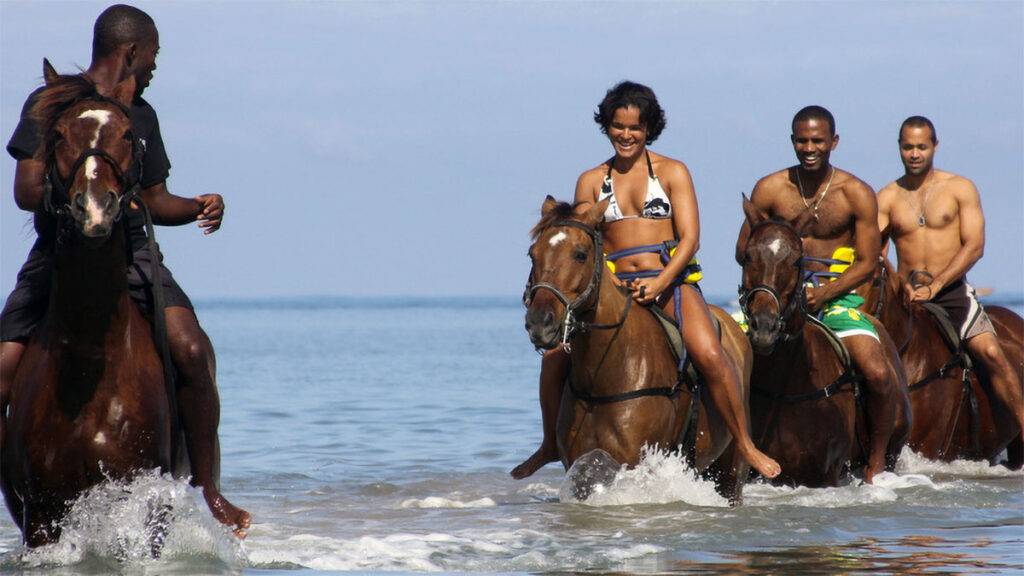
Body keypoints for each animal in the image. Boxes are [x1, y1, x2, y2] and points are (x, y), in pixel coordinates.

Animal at [528, 194, 753, 500]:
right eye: (532, 254)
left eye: (580, 254)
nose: (540, 322)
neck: (603, 374)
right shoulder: (577, 459)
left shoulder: (637, 461)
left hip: (732, 470)